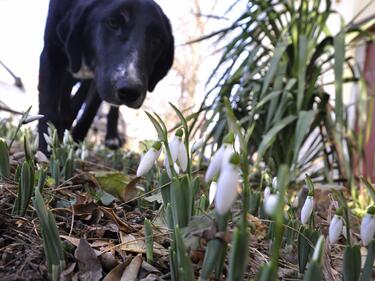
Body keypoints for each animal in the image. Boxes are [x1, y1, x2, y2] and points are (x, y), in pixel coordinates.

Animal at [38, 0, 173, 153]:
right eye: (113, 23)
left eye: (157, 40)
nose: (131, 91)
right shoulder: (51, 54)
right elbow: (49, 111)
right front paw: (46, 154)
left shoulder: (100, 79)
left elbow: (88, 112)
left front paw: (74, 145)